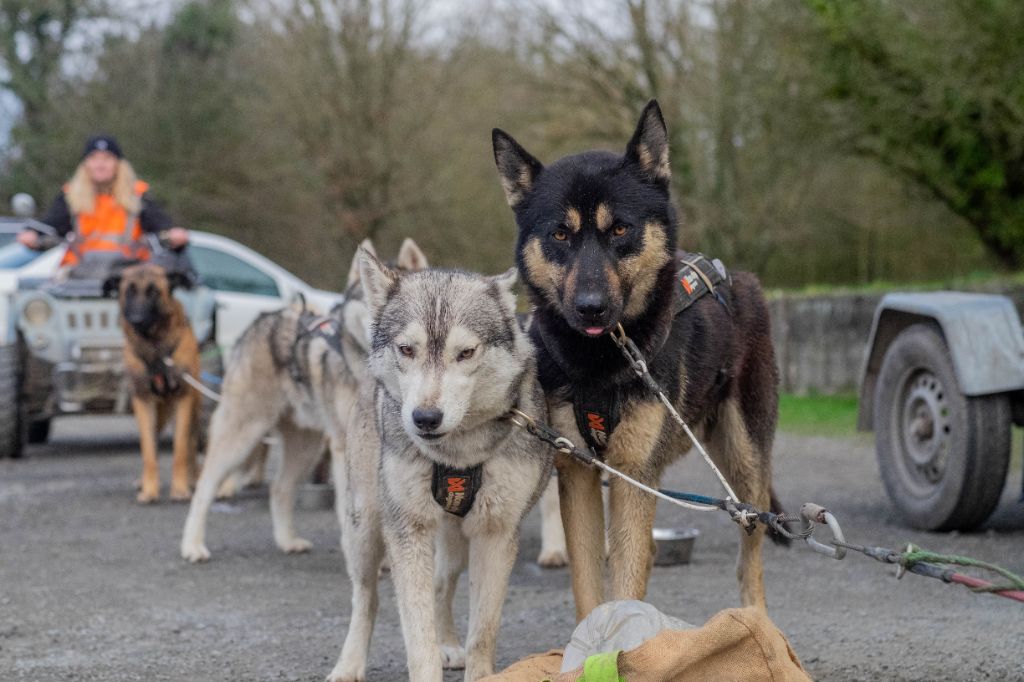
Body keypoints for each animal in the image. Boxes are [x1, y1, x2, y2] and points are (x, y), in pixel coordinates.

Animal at [118, 262, 199, 501]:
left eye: (154, 292)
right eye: (129, 292)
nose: (136, 319)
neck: (155, 349)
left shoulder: (183, 399)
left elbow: (180, 449)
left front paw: (180, 488)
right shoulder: (143, 401)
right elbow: (148, 450)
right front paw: (149, 490)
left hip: (193, 408)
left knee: (191, 445)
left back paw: (192, 479)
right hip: (158, 415)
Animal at [491, 100, 778, 614]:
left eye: (620, 229)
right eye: (560, 234)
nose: (590, 307)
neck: (600, 363)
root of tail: (741, 280)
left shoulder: (633, 474)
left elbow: (625, 582)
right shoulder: (581, 473)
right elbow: (589, 584)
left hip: (746, 466)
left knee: (751, 557)